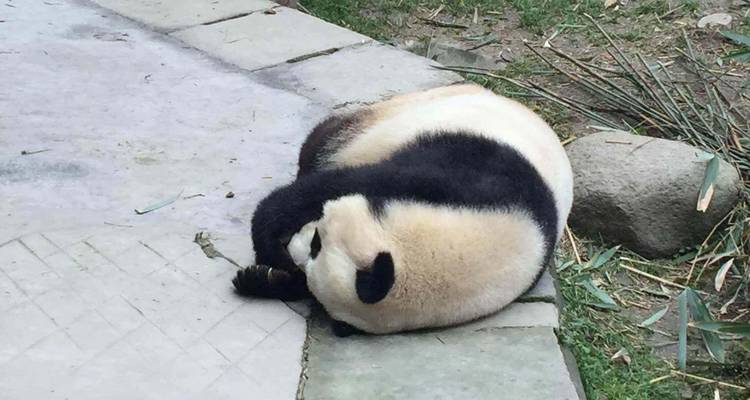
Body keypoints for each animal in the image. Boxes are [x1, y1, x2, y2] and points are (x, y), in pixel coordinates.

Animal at [233, 83, 573, 335]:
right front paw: (270, 248)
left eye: (316, 246)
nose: (293, 249)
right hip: (395, 114)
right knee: (324, 141)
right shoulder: (472, 173)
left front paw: (266, 278)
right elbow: (335, 186)